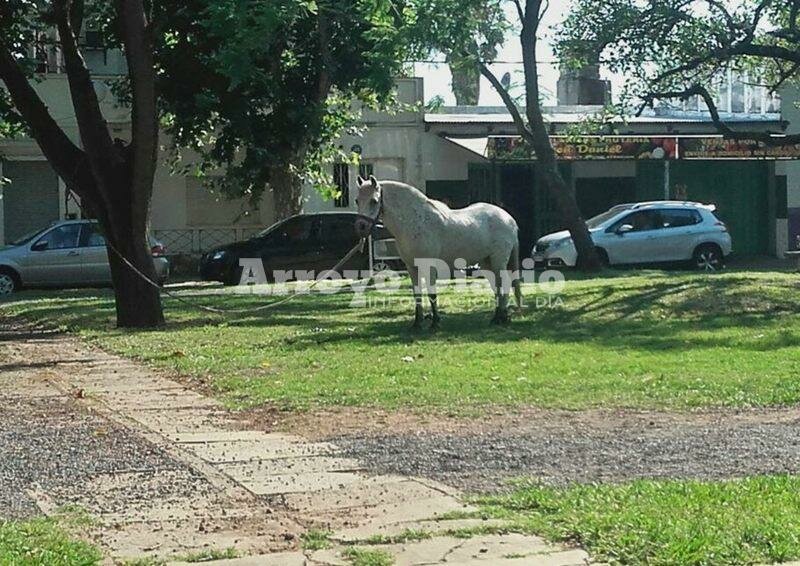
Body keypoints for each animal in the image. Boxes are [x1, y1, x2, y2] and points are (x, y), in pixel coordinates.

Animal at [354, 176, 520, 328]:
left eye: (374, 201)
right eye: (356, 200)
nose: (361, 227)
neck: (416, 222)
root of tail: (508, 218)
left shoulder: (429, 266)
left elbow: (432, 293)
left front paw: (435, 323)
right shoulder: (411, 267)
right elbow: (417, 294)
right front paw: (417, 323)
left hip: (498, 261)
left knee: (503, 284)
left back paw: (500, 318)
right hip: (486, 262)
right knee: (497, 287)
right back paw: (499, 317)